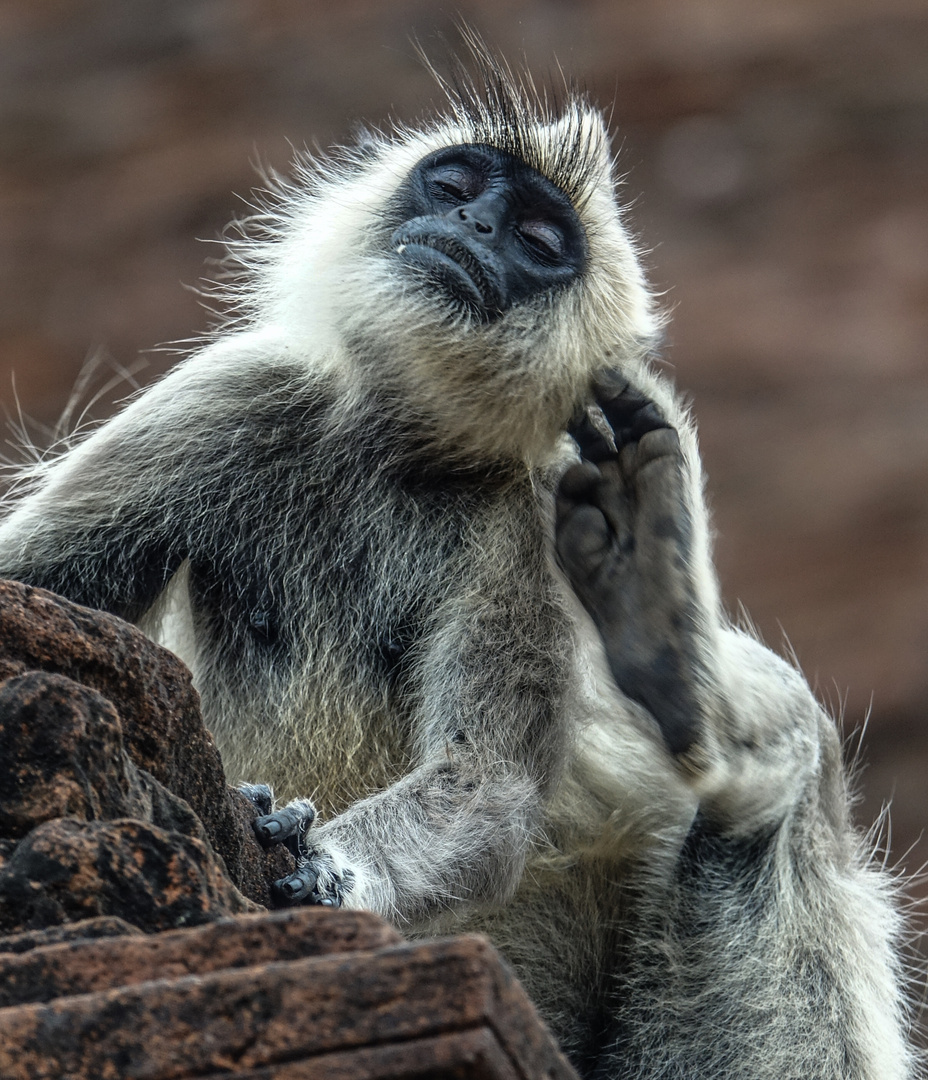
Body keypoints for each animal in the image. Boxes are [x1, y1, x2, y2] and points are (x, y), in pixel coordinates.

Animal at [0, 48, 916, 1071]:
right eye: (454, 186)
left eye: (538, 237)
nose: (473, 226)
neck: (399, 451)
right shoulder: (235, 398)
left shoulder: (526, 521)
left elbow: (492, 794)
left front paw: (329, 866)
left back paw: (681, 666)